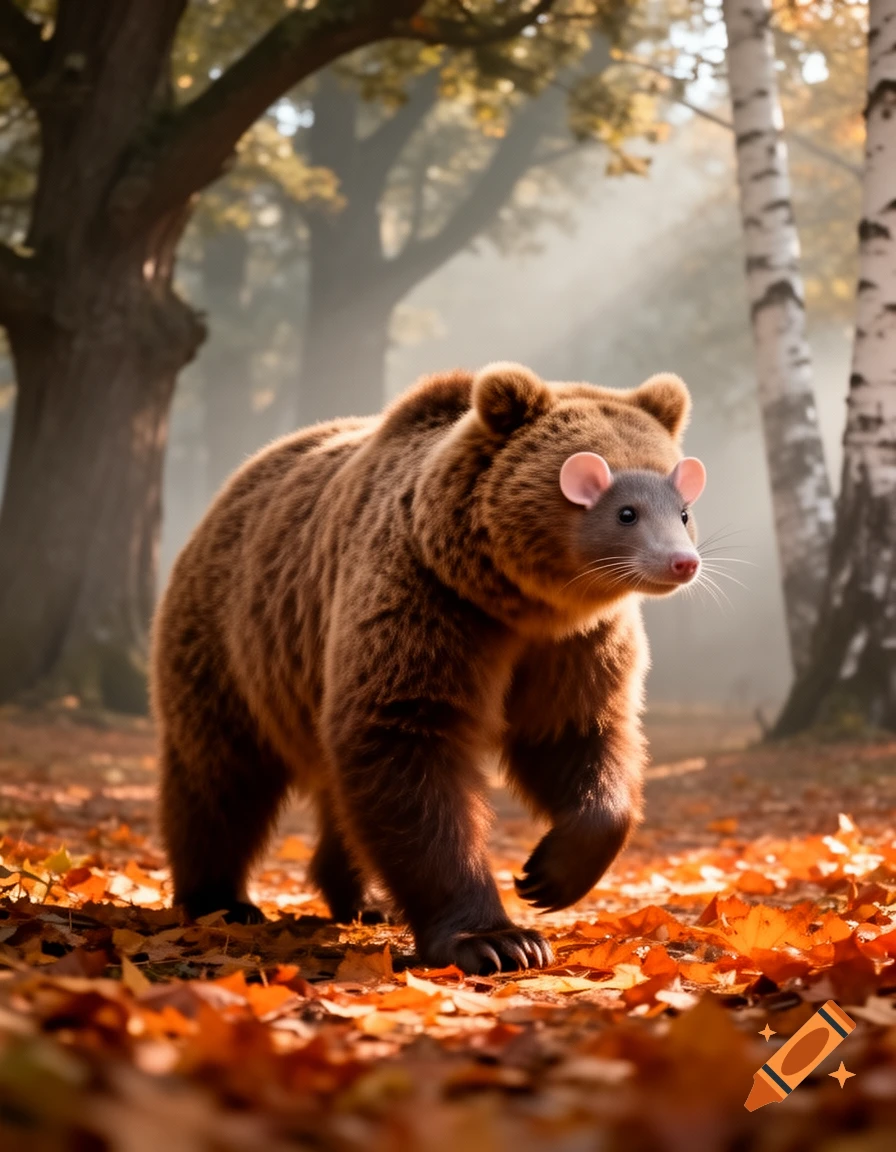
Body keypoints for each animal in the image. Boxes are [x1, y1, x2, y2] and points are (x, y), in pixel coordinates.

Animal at [150, 362, 706, 975]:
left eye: (683, 510)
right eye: (625, 511)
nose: (681, 561)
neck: (517, 602)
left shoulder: (574, 646)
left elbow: (577, 735)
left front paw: (547, 876)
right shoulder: (430, 605)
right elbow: (408, 743)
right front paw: (497, 939)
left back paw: (362, 899)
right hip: (235, 645)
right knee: (221, 773)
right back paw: (220, 900)